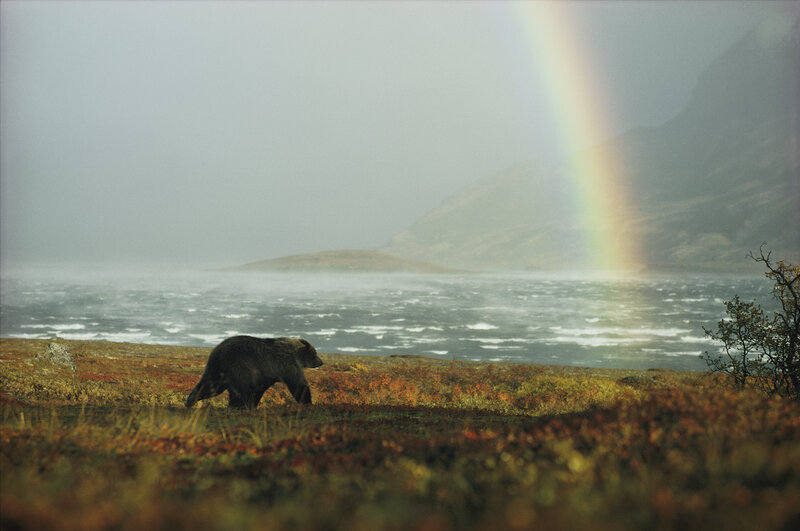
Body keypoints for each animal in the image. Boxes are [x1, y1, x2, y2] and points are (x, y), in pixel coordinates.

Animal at [185, 335, 323, 409]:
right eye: (315, 353)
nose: (321, 362)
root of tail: (216, 352)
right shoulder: (286, 364)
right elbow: (298, 384)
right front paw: (307, 401)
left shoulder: (266, 374)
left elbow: (259, 389)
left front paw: (252, 405)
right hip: (239, 367)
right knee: (239, 391)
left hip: (217, 371)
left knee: (209, 386)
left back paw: (190, 400)